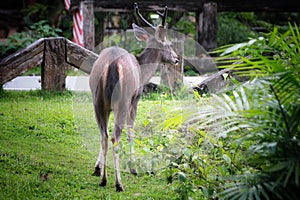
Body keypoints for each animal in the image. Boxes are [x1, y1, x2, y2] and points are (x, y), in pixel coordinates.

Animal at [88, 2, 179, 191]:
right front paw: (134, 167)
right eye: (168, 44)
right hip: (122, 101)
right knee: (114, 137)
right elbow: (131, 132)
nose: (177, 59)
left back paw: (103, 179)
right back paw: (118, 183)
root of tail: (111, 65)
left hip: (97, 101)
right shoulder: (135, 99)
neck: (142, 71)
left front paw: (97, 167)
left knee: (104, 136)